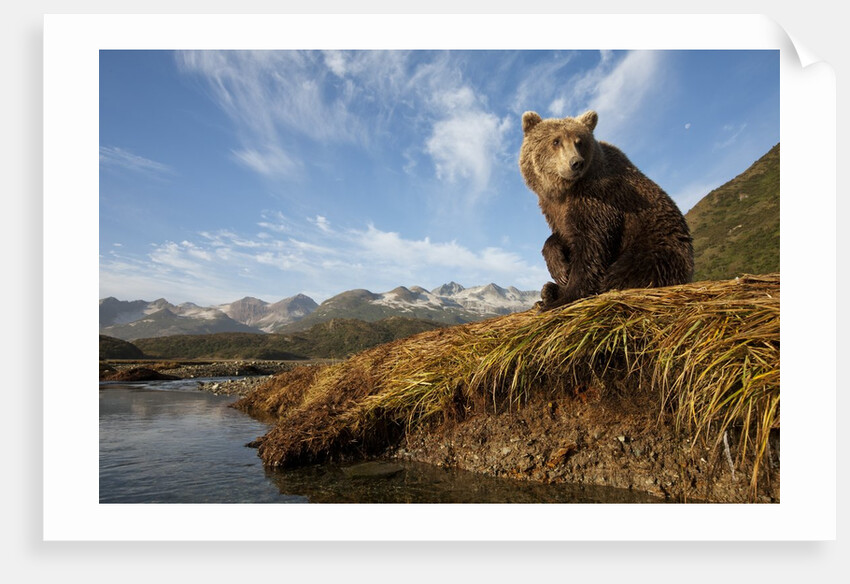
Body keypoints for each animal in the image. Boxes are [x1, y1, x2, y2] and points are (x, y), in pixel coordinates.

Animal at [519, 110, 693, 311]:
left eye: (579, 141)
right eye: (556, 141)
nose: (576, 163)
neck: (565, 190)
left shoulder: (599, 198)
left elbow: (591, 244)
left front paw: (566, 295)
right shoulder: (552, 208)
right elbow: (563, 235)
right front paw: (559, 270)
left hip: (657, 245)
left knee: (630, 270)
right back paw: (548, 291)